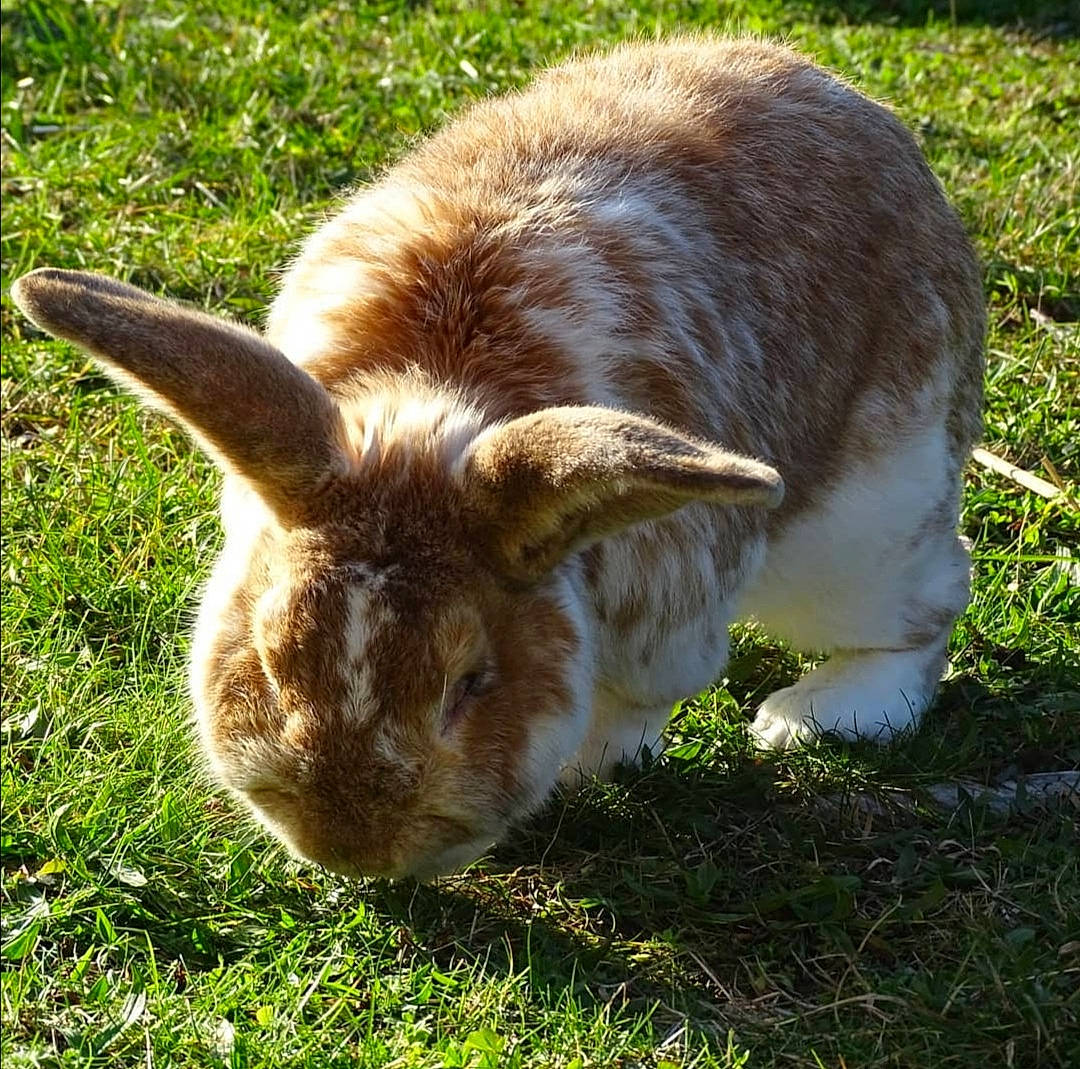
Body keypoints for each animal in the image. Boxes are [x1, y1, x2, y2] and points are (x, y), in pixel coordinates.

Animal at [11, 36, 984, 880]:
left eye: (471, 681)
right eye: (273, 661)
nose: (354, 852)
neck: (430, 401)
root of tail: (857, 110)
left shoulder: (672, 600)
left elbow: (638, 696)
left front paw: (594, 763)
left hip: (862, 531)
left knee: (926, 606)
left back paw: (812, 716)